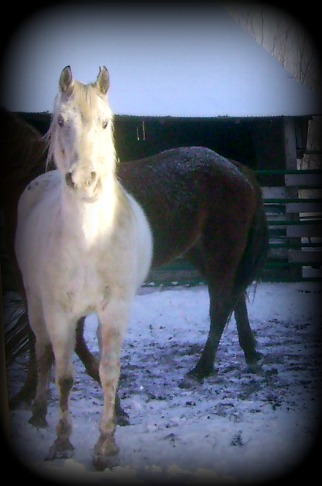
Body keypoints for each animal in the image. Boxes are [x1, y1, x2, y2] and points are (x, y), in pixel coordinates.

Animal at [1, 110, 270, 422]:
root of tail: (236, 168)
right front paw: (27, 395)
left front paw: (114, 406)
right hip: (205, 255)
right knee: (236, 300)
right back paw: (249, 354)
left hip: (220, 254)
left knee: (220, 308)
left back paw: (201, 370)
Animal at [15, 65, 154, 470]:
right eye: (61, 121)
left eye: (106, 122)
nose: (83, 180)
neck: (89, 239)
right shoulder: (58, 311)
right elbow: (63, 376)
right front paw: (62, 443)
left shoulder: (116, 311)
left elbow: (109, 373)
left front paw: (107, 446)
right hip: (35, 303)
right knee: (42, 351)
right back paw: (39, 415)